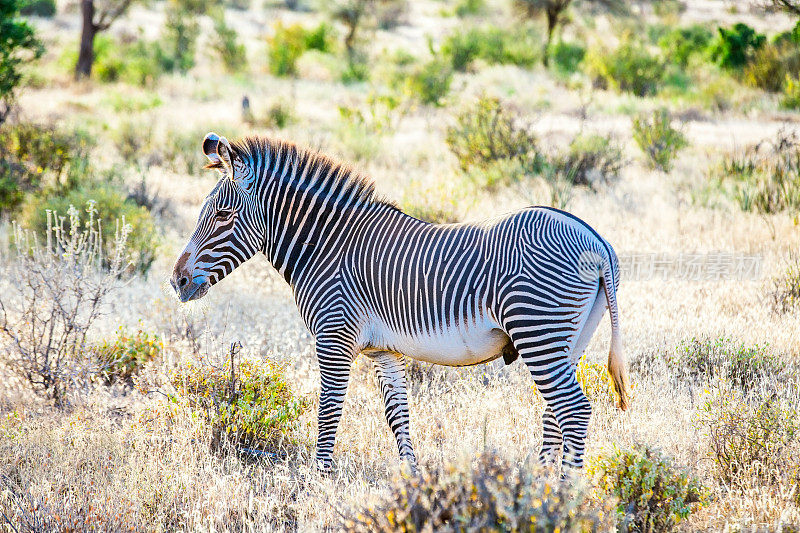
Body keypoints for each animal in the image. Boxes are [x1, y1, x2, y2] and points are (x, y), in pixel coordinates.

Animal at [170, 132, 632, 470]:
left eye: (223, 216)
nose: (176, 281)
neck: (328, 246)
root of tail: (597, 241)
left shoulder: (333, 338)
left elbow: (328, 414)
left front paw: (319, 482)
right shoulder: (382, 350)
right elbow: (398, 416)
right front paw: (412, 480)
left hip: (538, 330)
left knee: (574, 410)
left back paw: (565, 495)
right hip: (568, 339)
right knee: (555, 412)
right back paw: (540, 486)